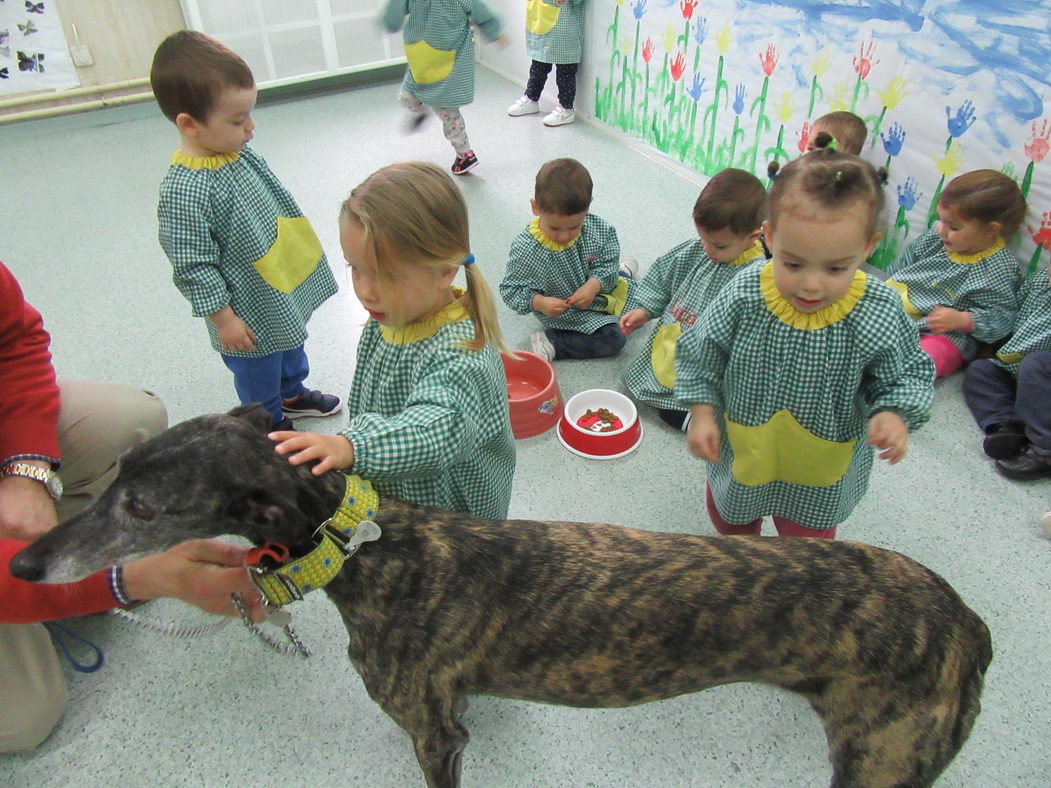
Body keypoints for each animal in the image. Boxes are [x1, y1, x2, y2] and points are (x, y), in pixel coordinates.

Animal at [10, 407, 992, 788]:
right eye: (114, 479)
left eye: (142, 507)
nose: (23, 568)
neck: (366, 549)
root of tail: (967, 624)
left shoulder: (435, 734)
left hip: (880, 765)